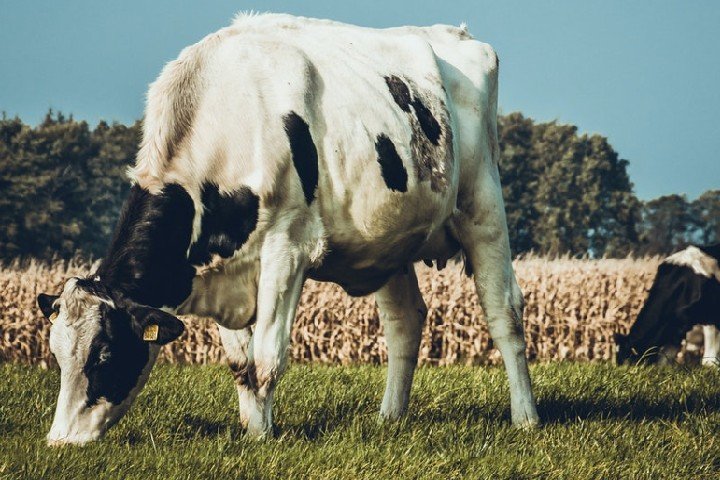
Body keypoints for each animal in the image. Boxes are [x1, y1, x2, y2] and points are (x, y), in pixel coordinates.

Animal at [36, 13, 539, 445]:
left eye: (104, 355)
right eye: (57, 356)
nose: (59, 441)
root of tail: (458, 33)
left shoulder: (287, 250)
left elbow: (266, 358)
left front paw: (264, 440)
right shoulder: (220, 273)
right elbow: (240, 364)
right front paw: (252, 429)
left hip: (483, 205)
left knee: (504, 313)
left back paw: (526, 418)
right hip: (391, 241)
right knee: (405, 323)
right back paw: (389, 417)